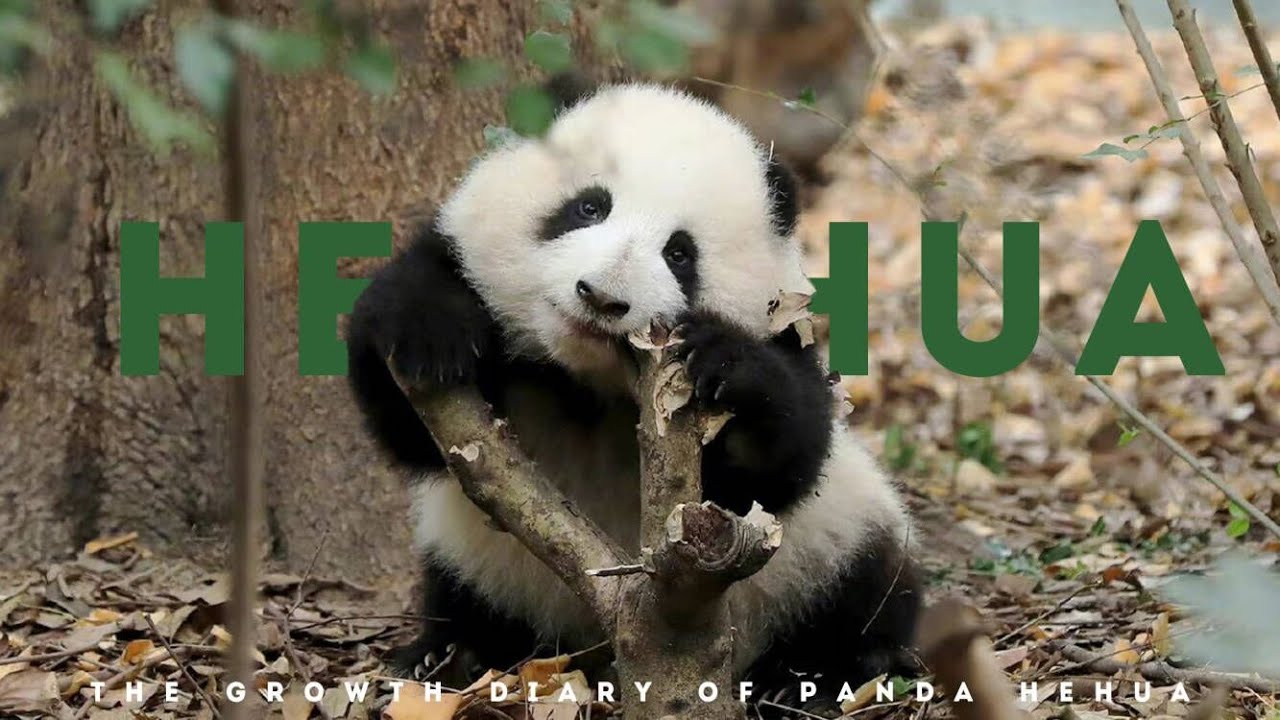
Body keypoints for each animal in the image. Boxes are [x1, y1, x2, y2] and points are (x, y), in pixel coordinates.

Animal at [345, 80, 922, 711]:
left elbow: (780, 470)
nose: (601, 296)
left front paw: (725, 364)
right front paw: (431, 331)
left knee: (867, 588)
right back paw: (451, 656)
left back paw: (818, 674)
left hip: (829, 549)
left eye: (679, 253)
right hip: (485, 566)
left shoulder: (786, 340)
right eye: (588, 207)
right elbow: (410, 428)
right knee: (465, 598)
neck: (588, 385)